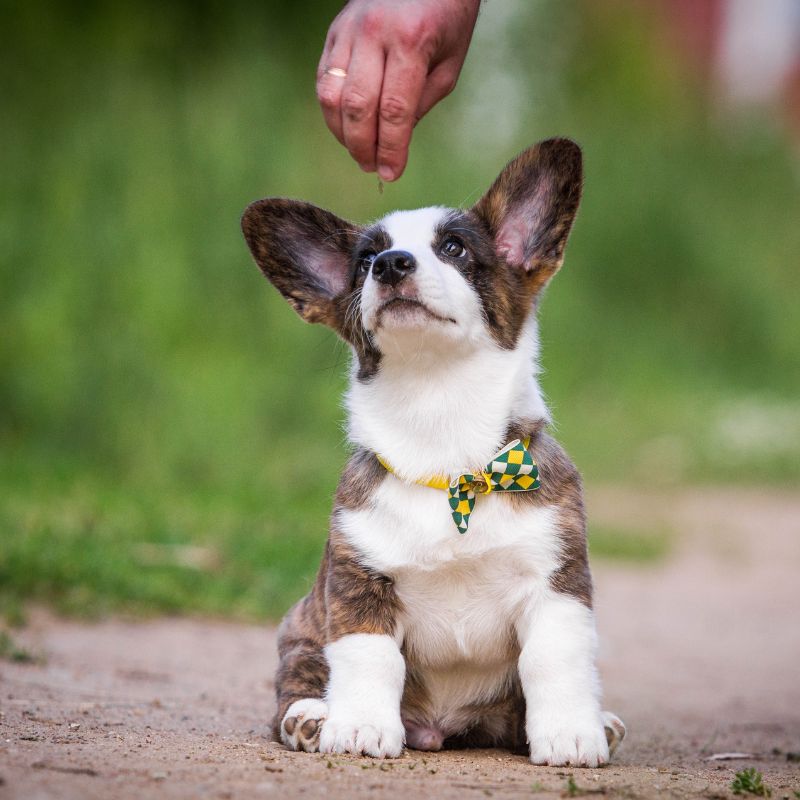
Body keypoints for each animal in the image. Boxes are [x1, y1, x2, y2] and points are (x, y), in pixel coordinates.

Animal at [244, 139, 624, 768]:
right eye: (364, 260)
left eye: (454, 248)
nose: (391, 264)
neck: (443, 438)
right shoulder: (359, 584)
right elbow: (369, 658)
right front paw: (360, 727)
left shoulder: (556, 585)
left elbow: (555, 660)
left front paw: (571, 734)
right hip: (300, 627)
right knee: (300, 678)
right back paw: (312, 717)